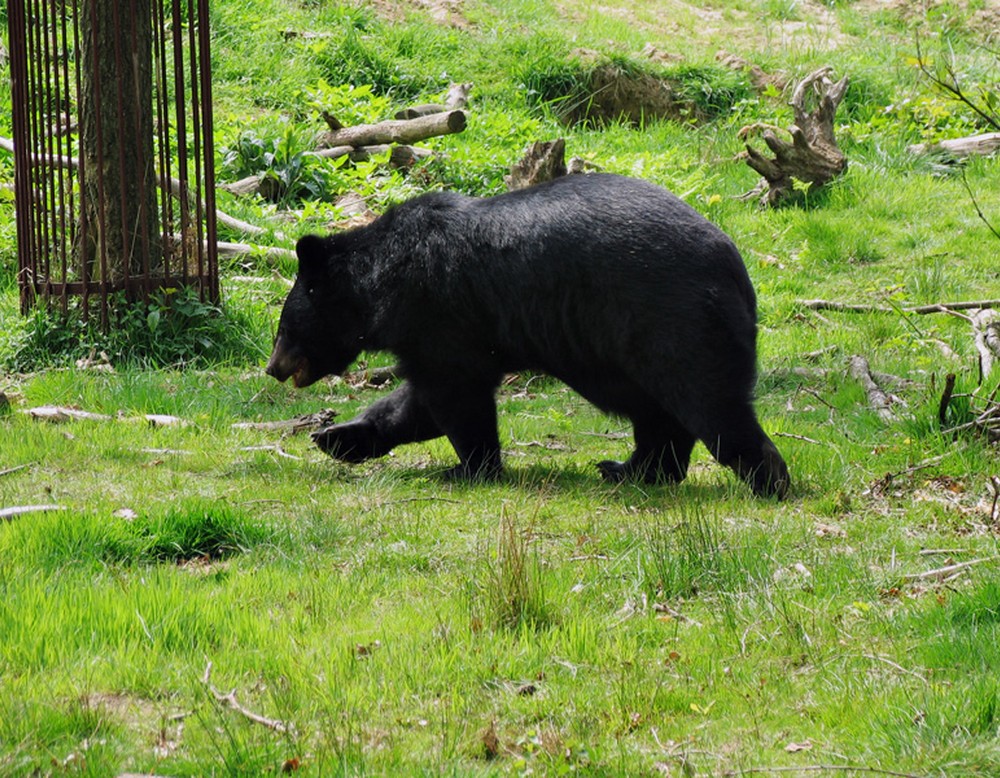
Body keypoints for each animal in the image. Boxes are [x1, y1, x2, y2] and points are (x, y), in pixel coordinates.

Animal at [266, 172, 788, 494]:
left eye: (284, 328)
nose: (272, 369)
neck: (382, 283)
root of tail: (735, 268)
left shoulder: (436, 313)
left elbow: (456, 396)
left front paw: (469, 468)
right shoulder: (453, 335)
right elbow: (420, 402)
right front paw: (336, 437)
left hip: (669, 321)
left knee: (708, 403)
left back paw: (768, 478)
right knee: (658, 414)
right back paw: (629, 470)